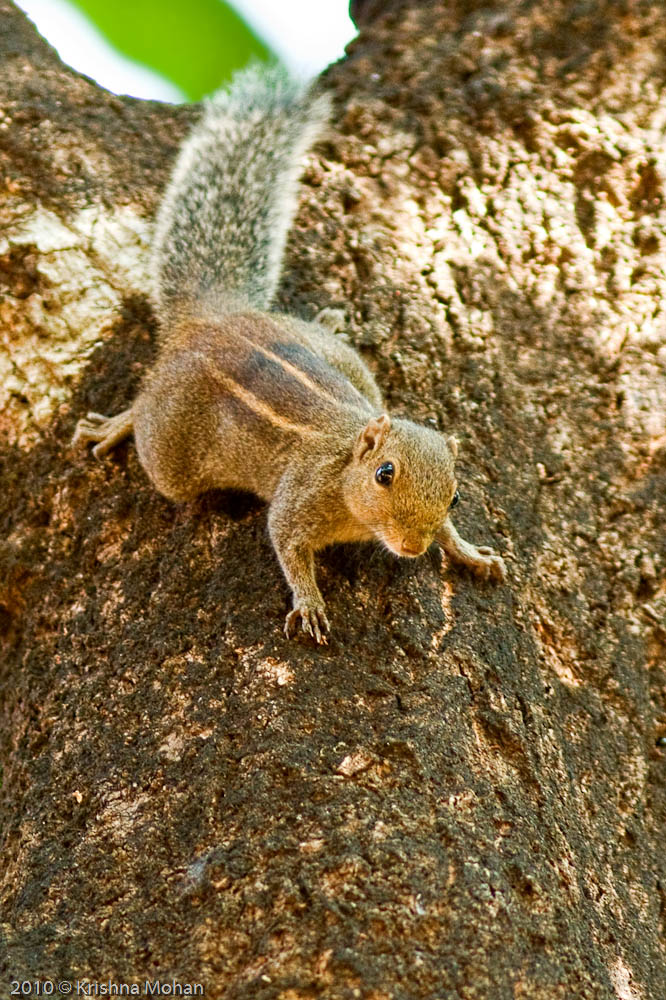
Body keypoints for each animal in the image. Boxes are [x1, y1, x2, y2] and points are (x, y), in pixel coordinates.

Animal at [72, 64, 506, 640]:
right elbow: (287, 544)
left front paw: (471, 552)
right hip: (171, 448)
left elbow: (452, 534)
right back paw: (116, 424)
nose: (413, 546)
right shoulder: (299, 498)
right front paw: (311, 603)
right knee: (148, 424)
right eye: (384, 474)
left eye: (456, 495)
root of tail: (216, 319)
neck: (345, 466)